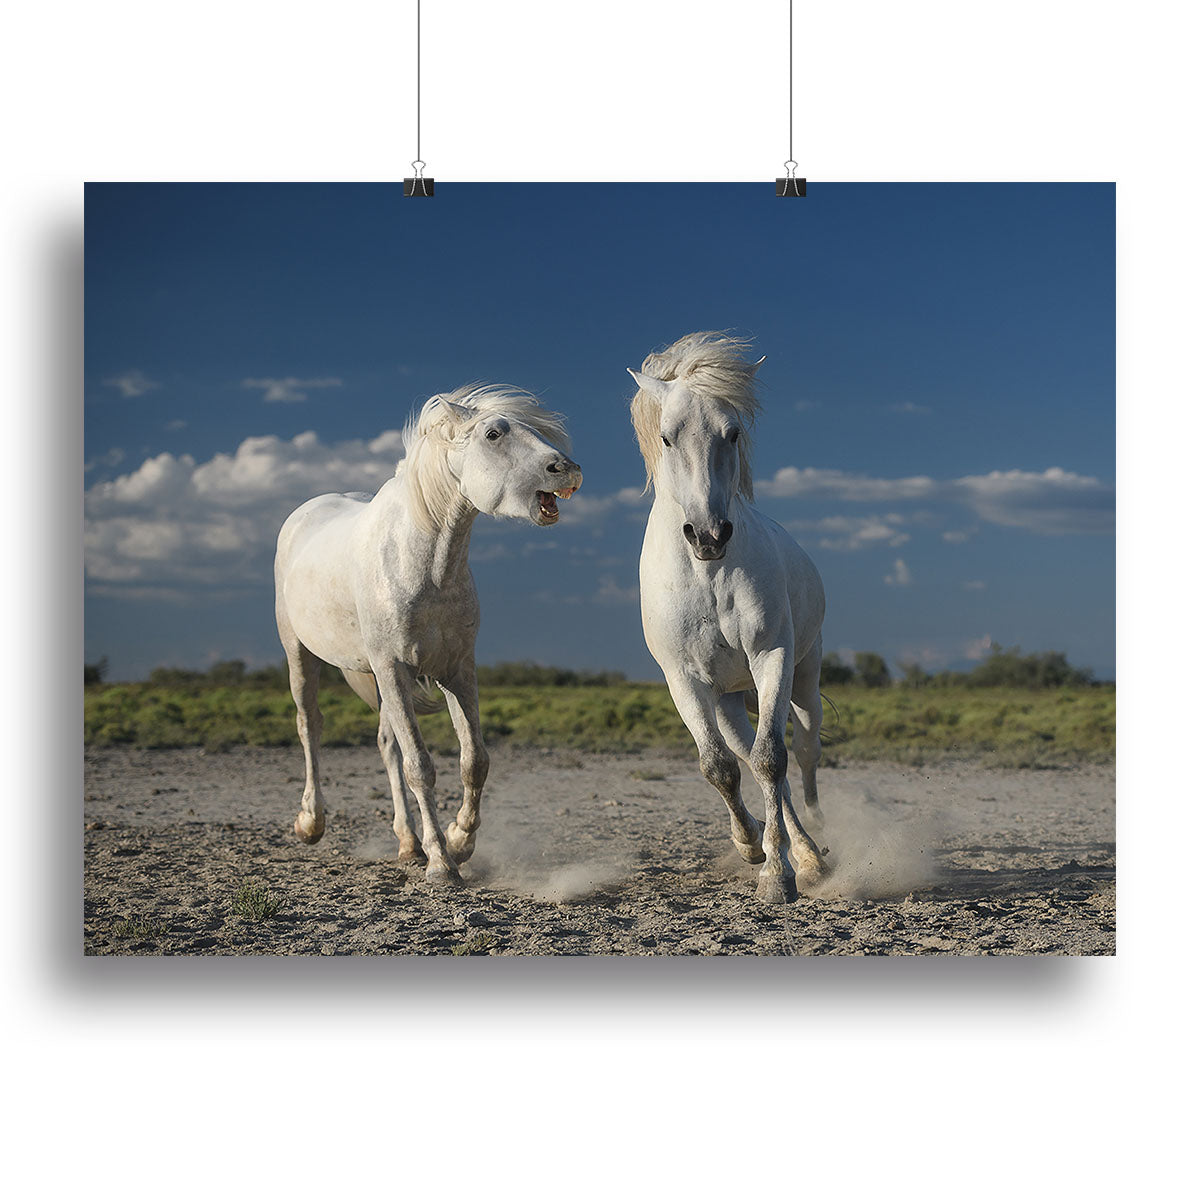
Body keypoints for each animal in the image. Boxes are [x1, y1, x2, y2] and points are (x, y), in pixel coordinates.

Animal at [274, 385, 581, 887]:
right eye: (494, 433)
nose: (568, 471)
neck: (422, 564)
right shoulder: (395, 668)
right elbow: (421, 766)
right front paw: (442, 862)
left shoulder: (457, 670)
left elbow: (474, 760)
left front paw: (459, 841)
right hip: (300, 653)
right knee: (310, 725)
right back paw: (311, 823)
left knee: (386, 745)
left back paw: (407, 844)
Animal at [627, 332, 828, 904]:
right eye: (667, 438)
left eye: (732, 433)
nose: (709, 535)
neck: (708, 576)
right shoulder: (684, 679)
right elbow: (719, 767)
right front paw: (751, 847)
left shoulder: (771, 655)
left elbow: (771, 759)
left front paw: (778, 876)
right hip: (730, 700)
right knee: (751, 759)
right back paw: (791, 849)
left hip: (801, 678)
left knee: (799, 753)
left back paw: (811, 850)